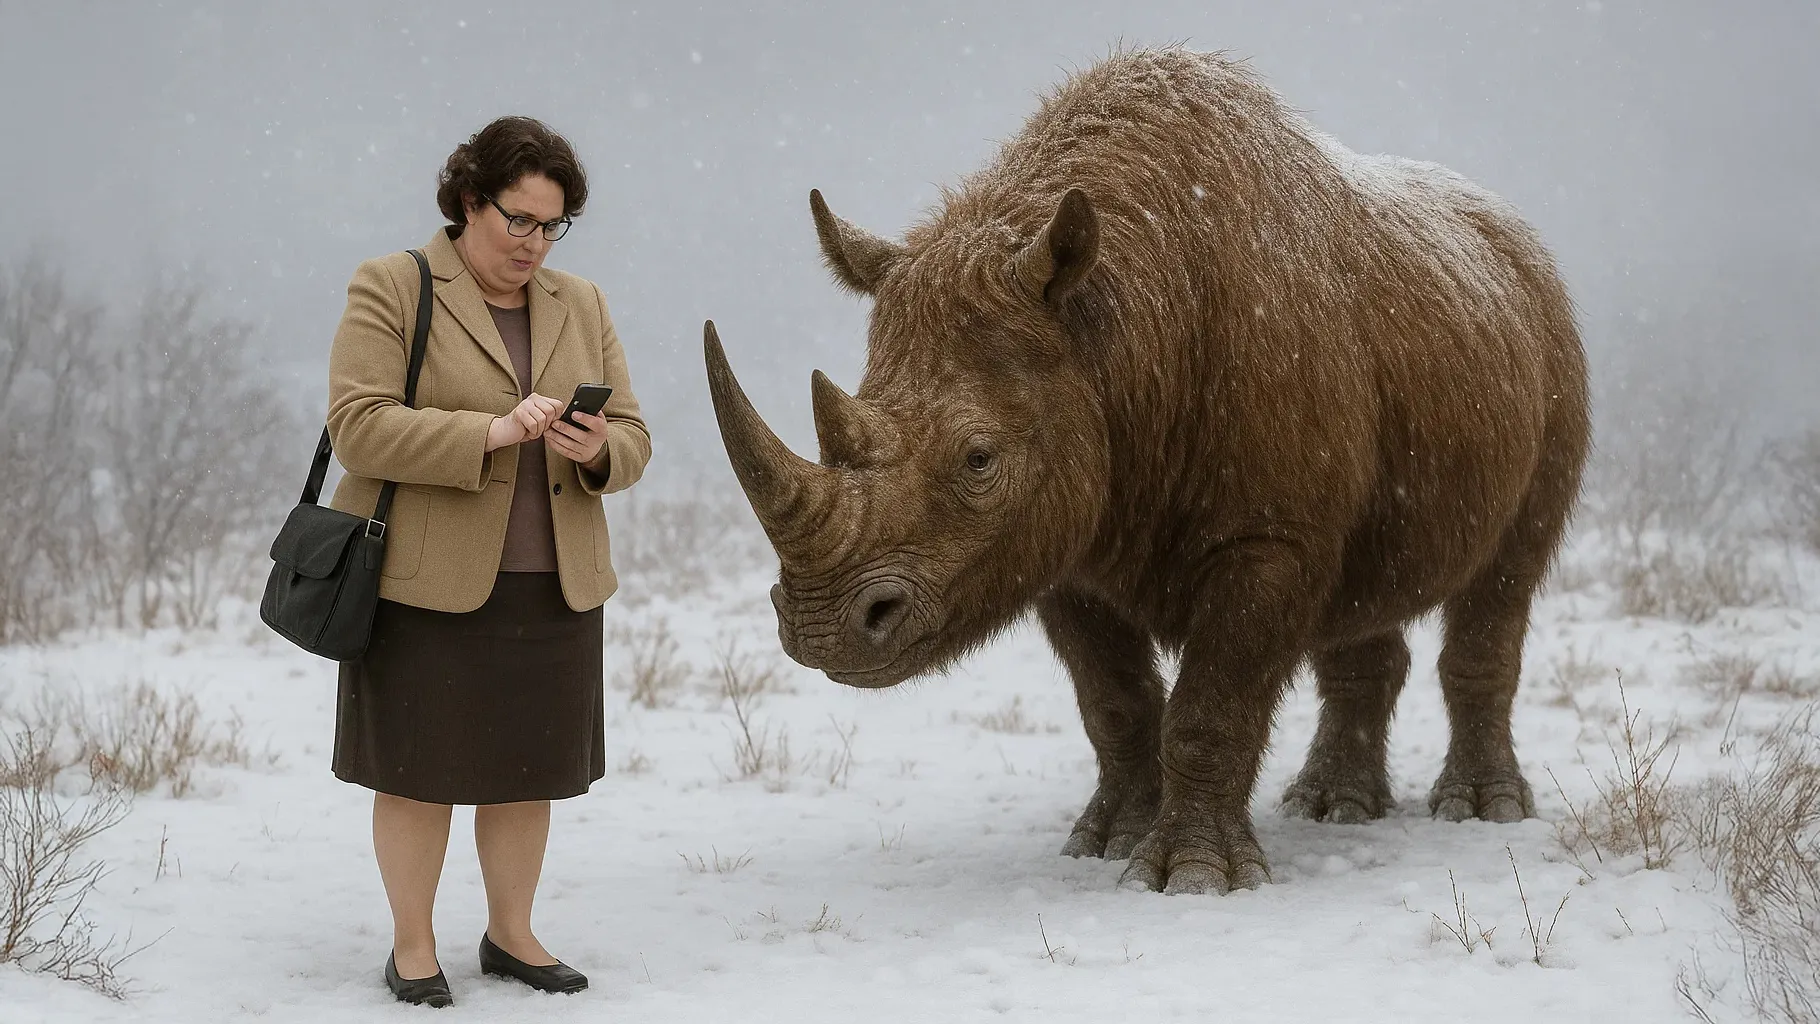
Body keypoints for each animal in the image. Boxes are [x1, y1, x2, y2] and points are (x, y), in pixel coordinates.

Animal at [704, 47, 1589, 894]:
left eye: (980, 460)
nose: (821, 630)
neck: (1115, 322)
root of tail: (1521, 239)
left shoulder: (1265, 537)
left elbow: (1209, 708)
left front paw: (1192, 877)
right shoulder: (1060, 536)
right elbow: (1115, 704)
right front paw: (1106, 844)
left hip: (1555, 345)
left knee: (1506, 576)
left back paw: (1480, 811)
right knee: (1367, 590)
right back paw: (1333, 809)